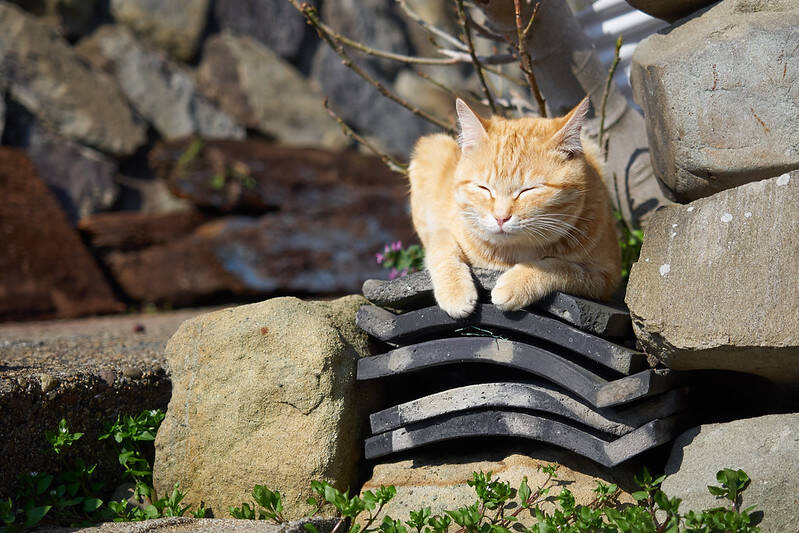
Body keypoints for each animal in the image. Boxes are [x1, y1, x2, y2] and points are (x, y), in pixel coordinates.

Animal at [410, 97, 620, 318]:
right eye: (484, 188)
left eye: (528, 190)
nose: (501, 217)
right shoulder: (443, 230)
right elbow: (442, 250)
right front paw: (455, 292)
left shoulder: (605, 278)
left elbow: (561, 267)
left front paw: (517, 283)